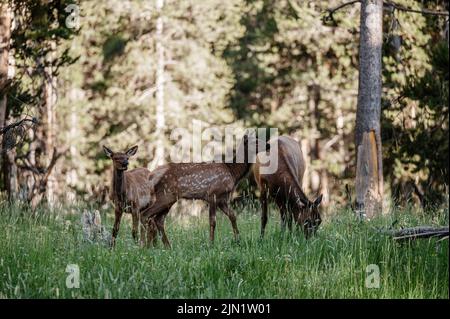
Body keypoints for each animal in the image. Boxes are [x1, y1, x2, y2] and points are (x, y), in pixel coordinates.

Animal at [140, 133, 270, 248]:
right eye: (256, 141)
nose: (268, 145)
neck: (233, 173)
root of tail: (152, 175)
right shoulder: (213, 194)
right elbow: (213, 221)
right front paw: (211, 244)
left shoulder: (222, 199)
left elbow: (233, 216)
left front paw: (238, 239)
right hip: (166, 195)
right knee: (146, 214)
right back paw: (146, 246)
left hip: (168, 198)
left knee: (158, 219)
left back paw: (166, 246)